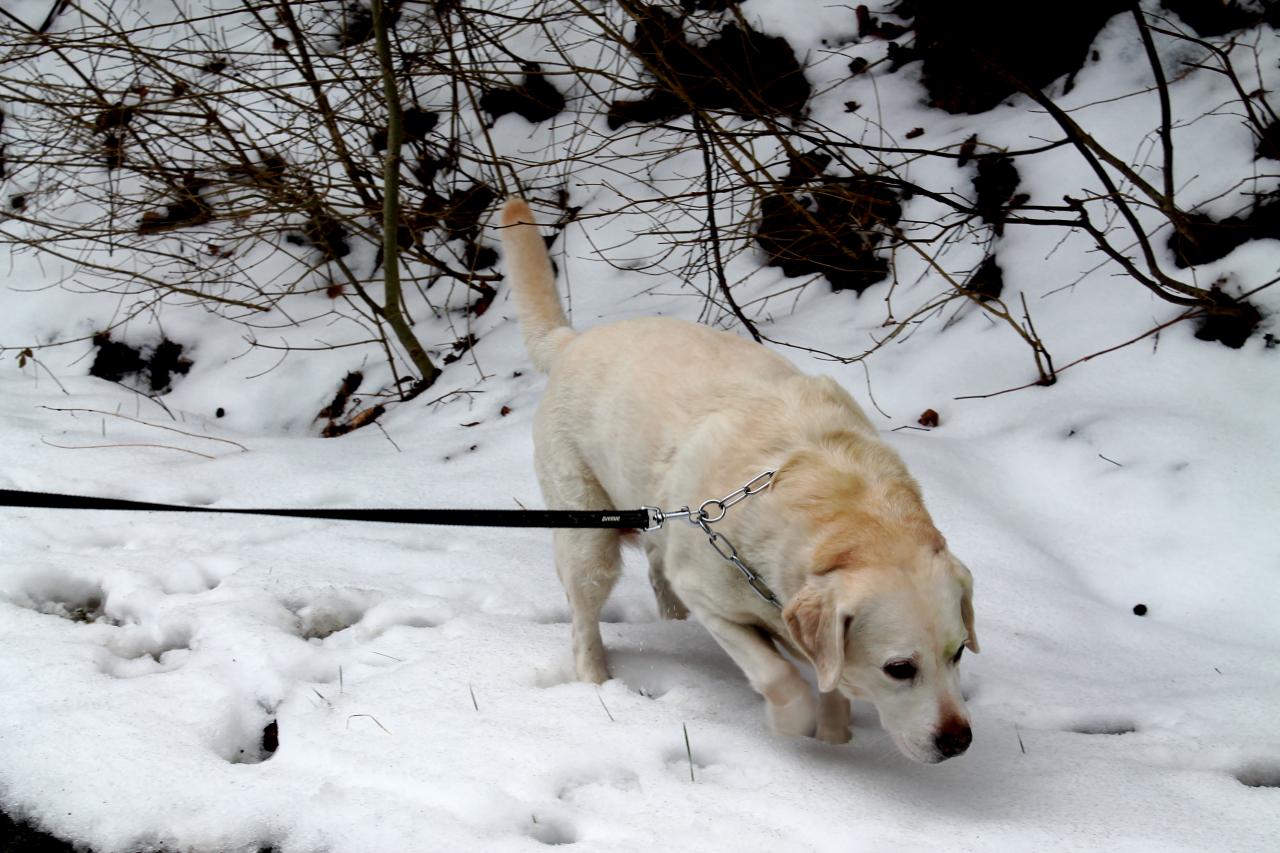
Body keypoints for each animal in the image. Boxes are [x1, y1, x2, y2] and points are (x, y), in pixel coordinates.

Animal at [499, 197, 977, 758]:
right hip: (587, 535)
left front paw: (835, 735)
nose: (959, 741)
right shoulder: (712, 597)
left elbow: (830, 681)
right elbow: (778, 676)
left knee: (656, 568)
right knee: (584, 618)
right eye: (899, 669)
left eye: (958, 652)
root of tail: (570, 342)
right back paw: (596, 680)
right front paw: (793, 726)